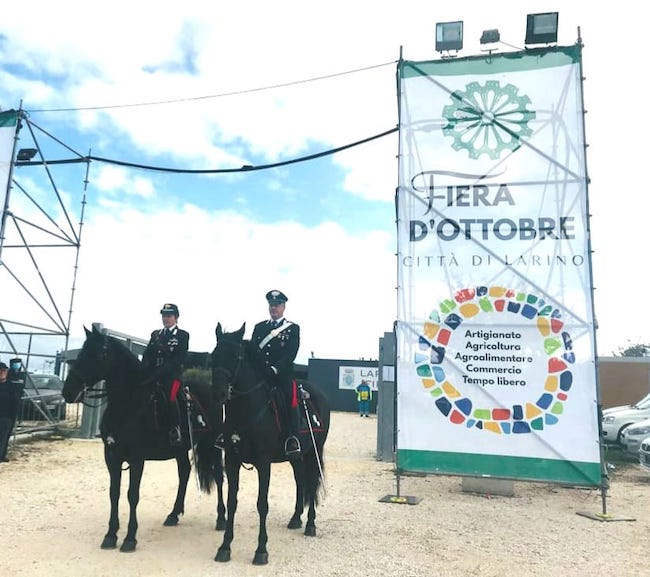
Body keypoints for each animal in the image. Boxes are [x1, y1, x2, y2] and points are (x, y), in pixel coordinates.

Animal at [63, 326, 225, 552]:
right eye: (82, 351)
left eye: (101, 353)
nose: (68, 392)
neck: (128, 404)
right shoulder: (111, 456)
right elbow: (114, 493)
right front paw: (111, 535)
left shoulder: (137, 458)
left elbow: (132, 495)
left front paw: (130, 538)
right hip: (180, 448)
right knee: (184, 472)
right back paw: (173, 515)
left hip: (213, 444)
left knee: (218, 476)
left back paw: (221, 519)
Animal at [196, 322, 330, 564]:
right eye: (214, 356)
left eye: (236, 356)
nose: (218, 393)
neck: (245, 411)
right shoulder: (231, 461)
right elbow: (232, 501)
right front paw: (225, 547)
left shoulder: (263, 463)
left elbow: (262, 504)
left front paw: (261, 550)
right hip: (296, 456)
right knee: (300, 480)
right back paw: (296, 518)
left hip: (313, 453)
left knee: (312, 481)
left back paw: (310, 525)